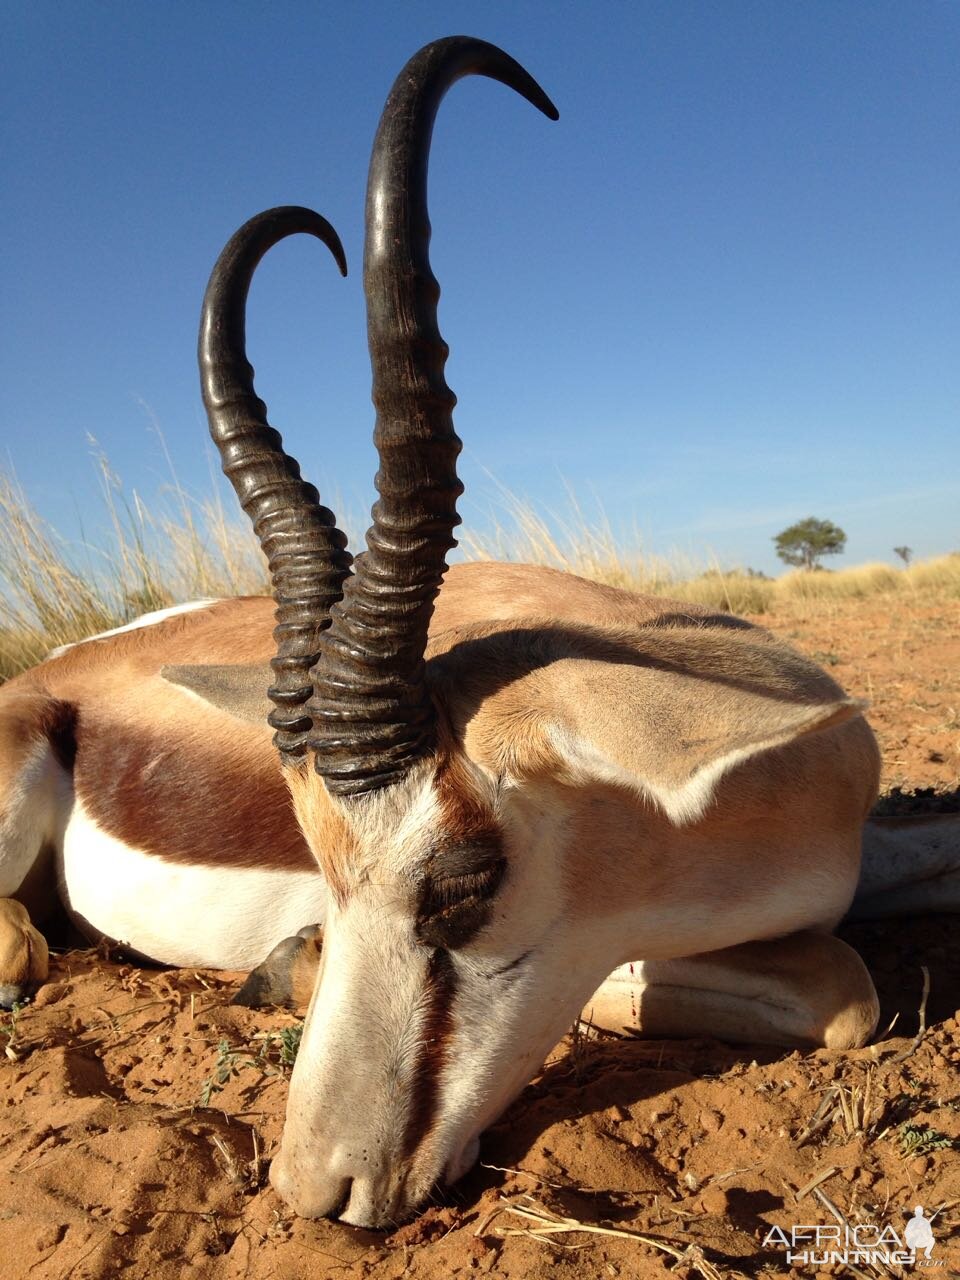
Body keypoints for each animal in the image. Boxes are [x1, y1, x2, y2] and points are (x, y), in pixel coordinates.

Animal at [1, 35, 960, 1223]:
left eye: (460, 885)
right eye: (316, 860)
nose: (315, 1191)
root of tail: (60, 673)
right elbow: (844, 989)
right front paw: (294, 960)